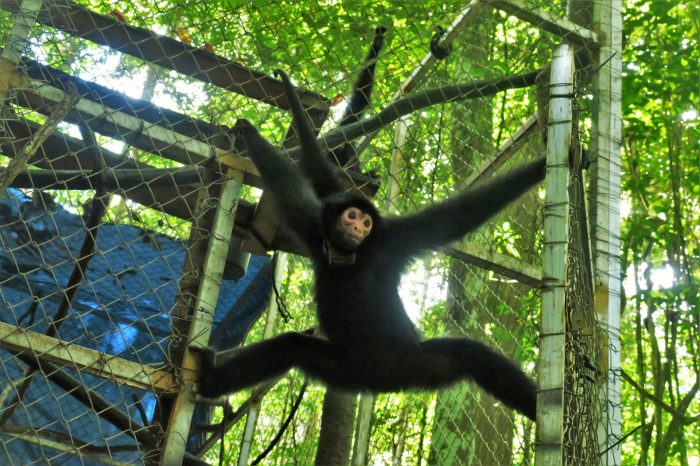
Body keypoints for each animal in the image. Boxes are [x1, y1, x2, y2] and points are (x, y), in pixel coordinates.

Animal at [193, 31, 548, 420]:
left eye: (366, 223)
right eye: (352, 217)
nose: (360, 228)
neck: (353, 254)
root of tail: (385, 383)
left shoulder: (392, 240)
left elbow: (457, 215)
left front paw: (551, 162)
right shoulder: (315, 225)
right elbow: (318, 174)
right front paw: (275, 106)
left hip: (414, 362)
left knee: (471, 354)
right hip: (345, 368)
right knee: (292, 347)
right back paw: (210, 381)